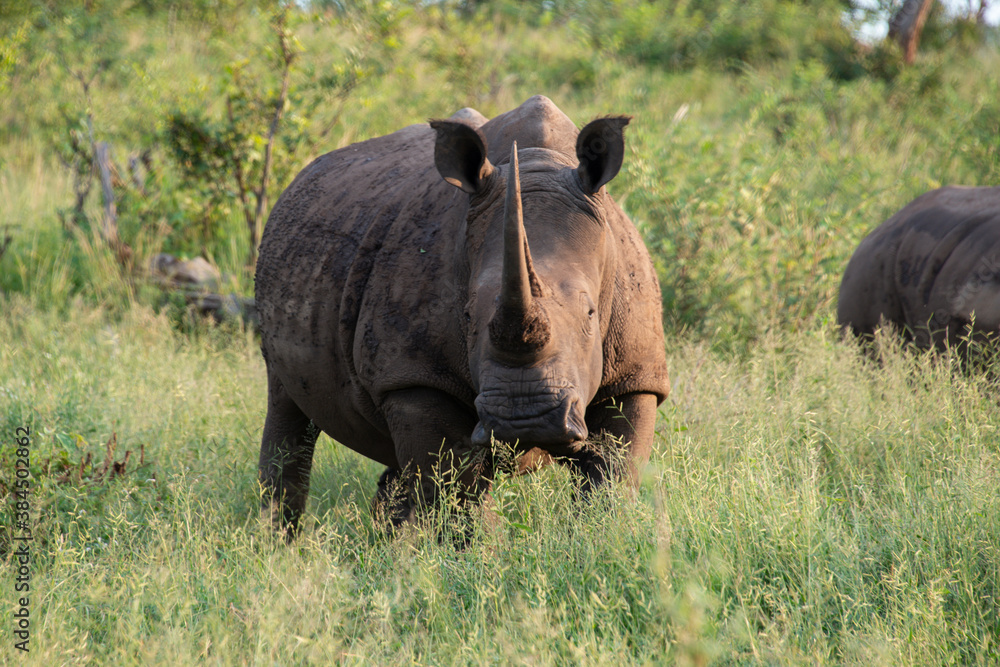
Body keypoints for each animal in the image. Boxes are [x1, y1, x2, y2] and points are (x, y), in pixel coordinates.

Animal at [255, 95, 669, 534]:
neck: (537, 161)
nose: (525, 418)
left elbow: (610, 478)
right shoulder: (415, 377)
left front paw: (599, 537)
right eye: (467, 315)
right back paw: (278, 539)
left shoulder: (635, 376)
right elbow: (456, 489)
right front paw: (485, 550)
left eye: (591, 313)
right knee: (285, 406)